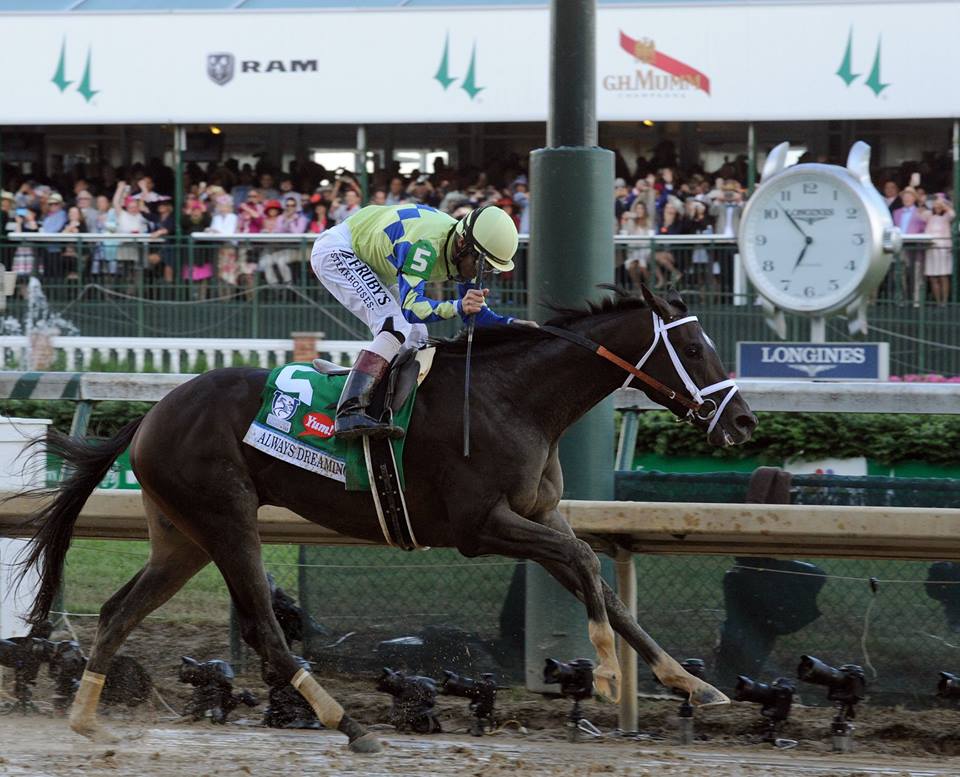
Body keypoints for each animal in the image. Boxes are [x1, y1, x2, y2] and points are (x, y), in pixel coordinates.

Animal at [11, 284, 752, 752]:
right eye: (695, 349)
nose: (742, 420)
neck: (514, 398)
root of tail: (151, 414)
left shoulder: (541, 514)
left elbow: (605, 587)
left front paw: (693, 683)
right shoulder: (478, 526)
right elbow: (584, 564)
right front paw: (601, 674)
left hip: (181, 537)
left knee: (119, 611)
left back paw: (87, 722)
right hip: (226, 519)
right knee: (266, 632)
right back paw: (349, 724)